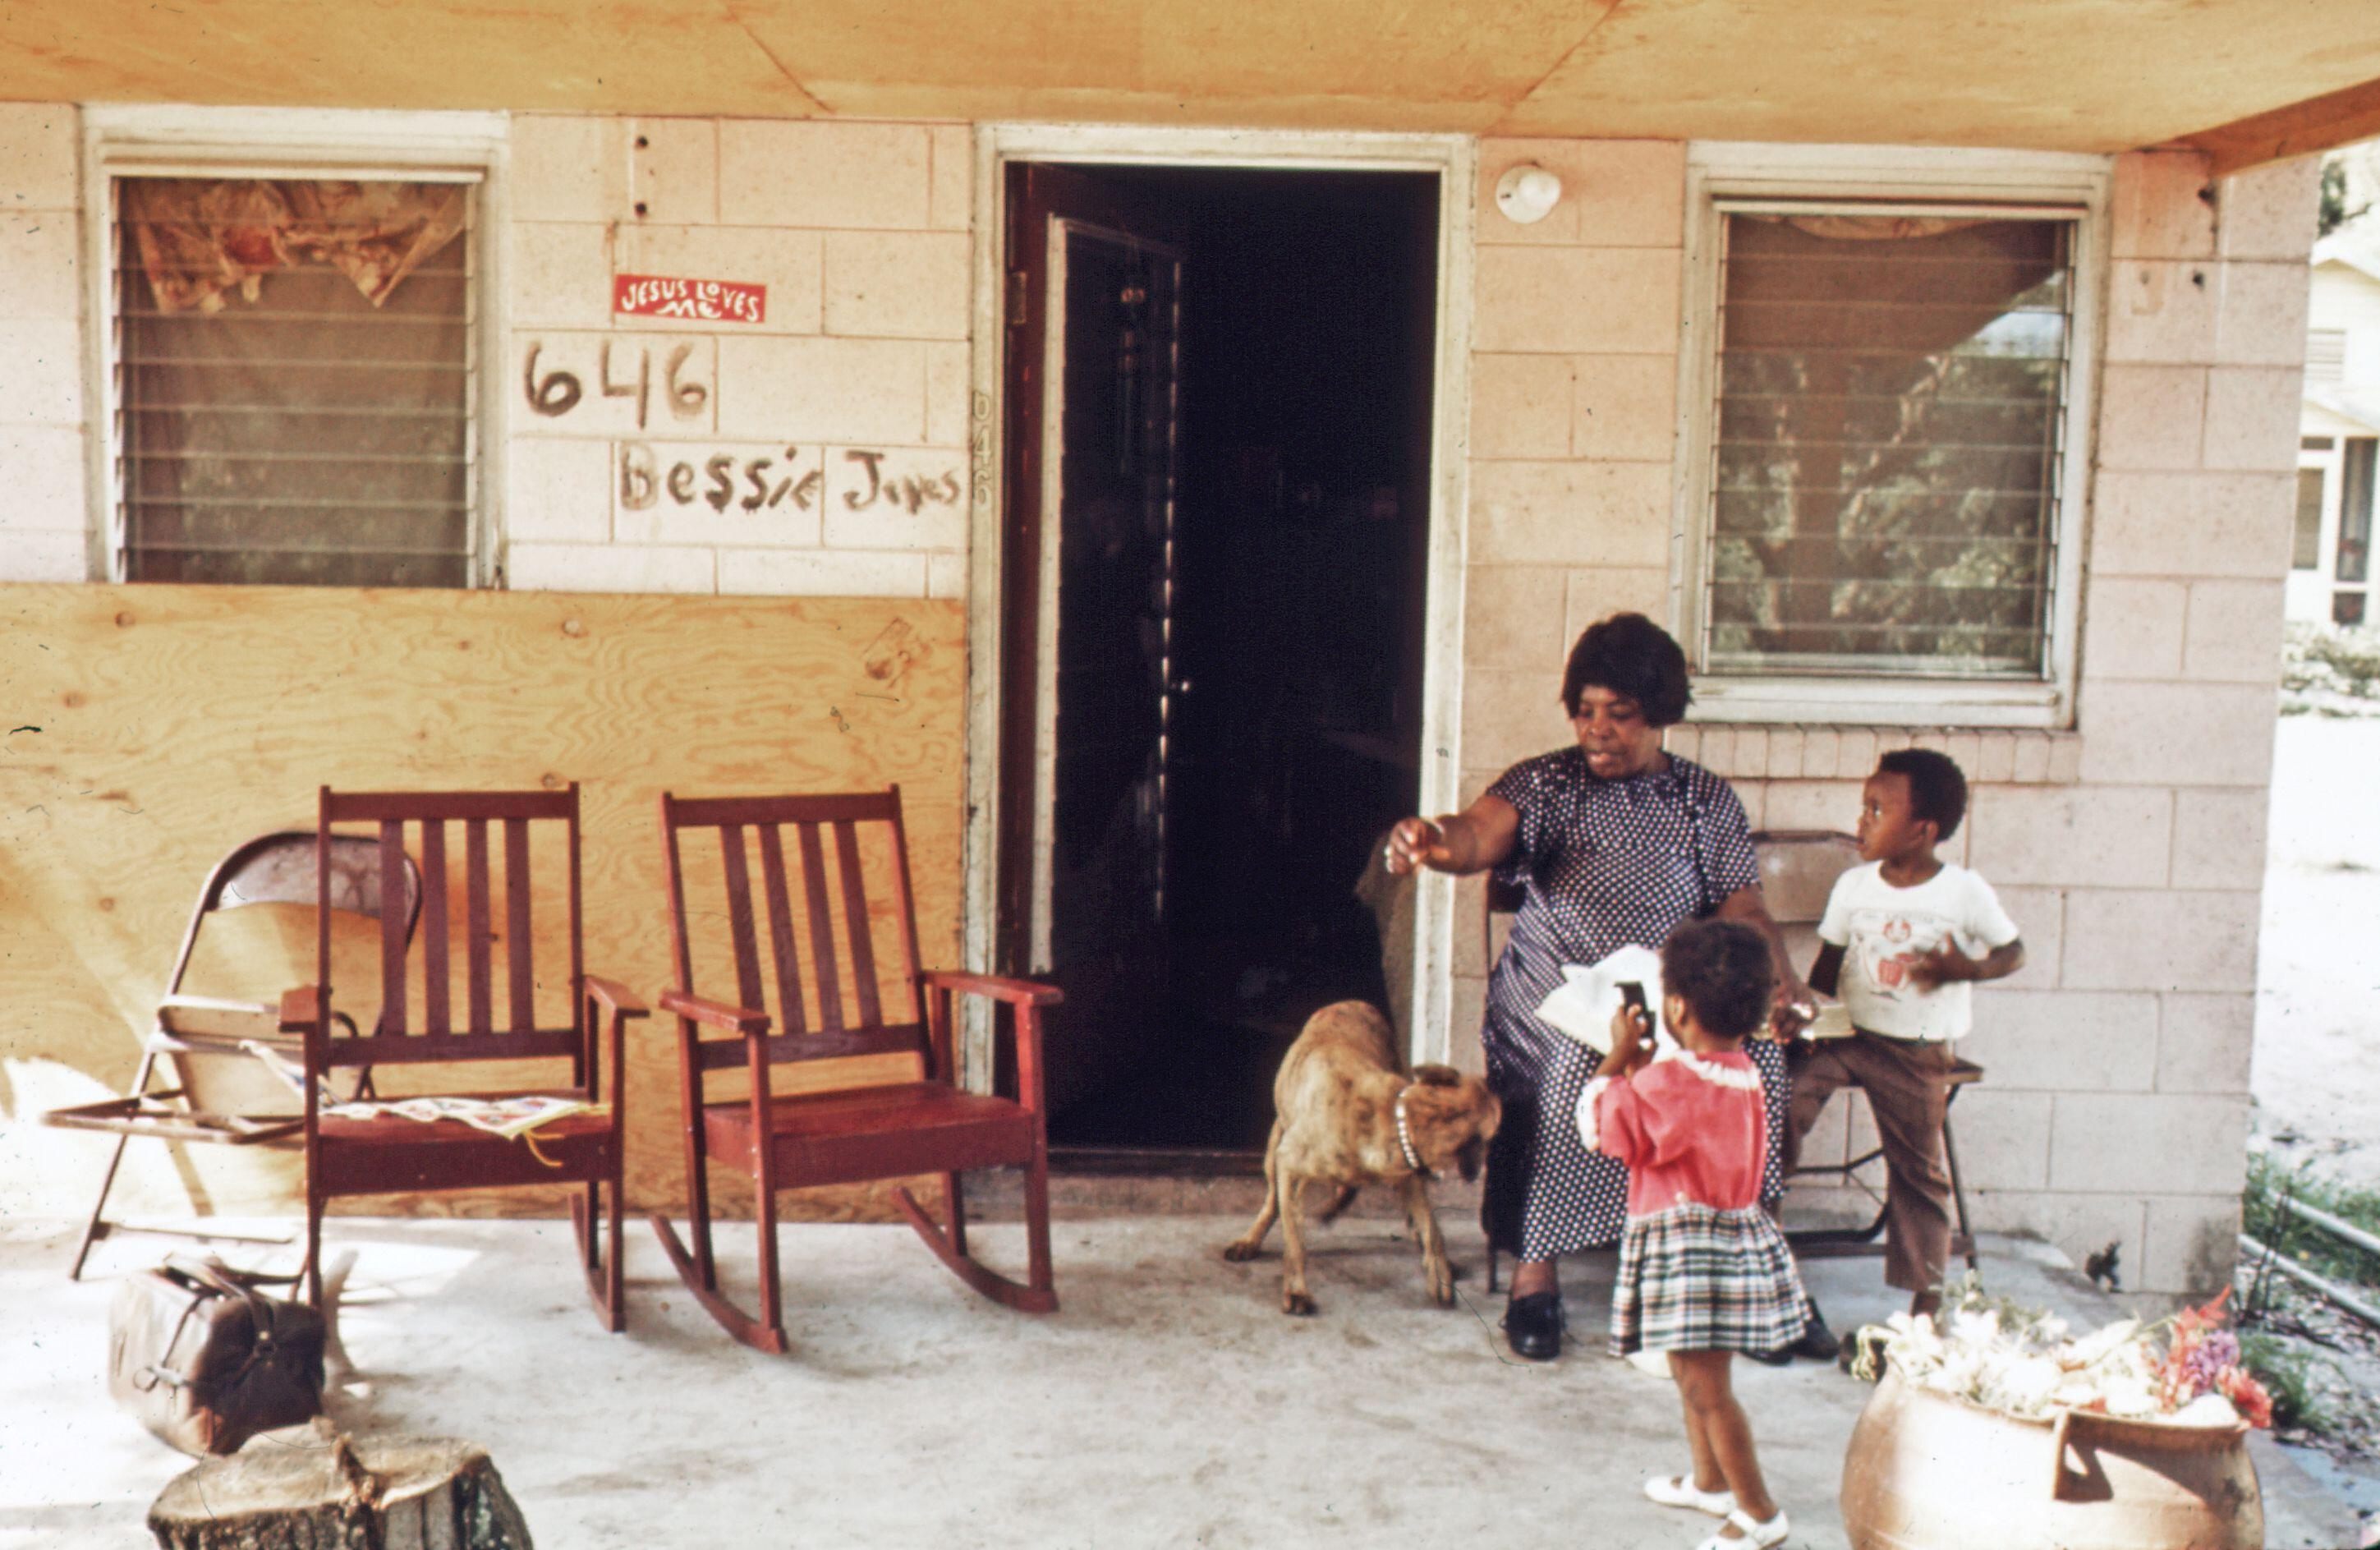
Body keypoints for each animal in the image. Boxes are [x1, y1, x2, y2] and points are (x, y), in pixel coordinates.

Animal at [1228, 1000, 1504, 1314]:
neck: (1397, 1118)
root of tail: (1351, 1003)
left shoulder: (1408, 1175)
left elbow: (1432, 1230)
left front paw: (1440, 1273)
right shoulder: (1288, 1161)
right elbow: (1295, 1241)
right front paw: (1297, 1290)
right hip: (1276, 1141)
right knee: (1274, 1202)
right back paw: (1252, 1239)